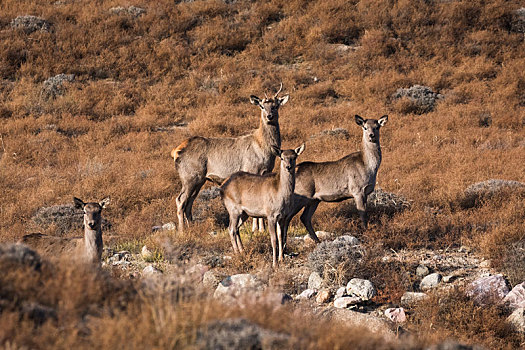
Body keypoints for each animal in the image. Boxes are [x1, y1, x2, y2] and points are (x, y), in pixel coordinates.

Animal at [171, 83, 286, 234]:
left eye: (276, 105)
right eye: (262, 106)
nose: (269, 116)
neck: (265, 149)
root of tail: (175, 152)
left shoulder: (266, 171)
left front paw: (261, 228)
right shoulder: (252, 169)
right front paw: (257, 229)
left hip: (199, 180)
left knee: (189, 202)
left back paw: (192, 227)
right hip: (189, 176)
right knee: (180, 200)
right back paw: (182, 231)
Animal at [280, 114, 386, 246]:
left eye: (377, 127)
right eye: (365, 127)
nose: (371, 135)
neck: (368, 166)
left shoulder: (365, 192)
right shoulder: (357, 190)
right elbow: (363, 214)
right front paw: (365, 233)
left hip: (314, 200)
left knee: (305, 217)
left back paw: (318, 241)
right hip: (300, 196)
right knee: (287, 217)